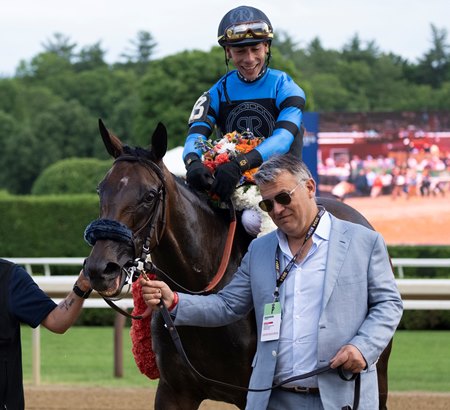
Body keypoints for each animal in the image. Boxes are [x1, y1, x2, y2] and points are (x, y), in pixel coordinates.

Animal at [83, 120, 390, 408]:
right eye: (101, 190)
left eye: (148, 195)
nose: (100, 269)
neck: (204, 281)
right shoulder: (174, 392)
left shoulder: (253, 393)